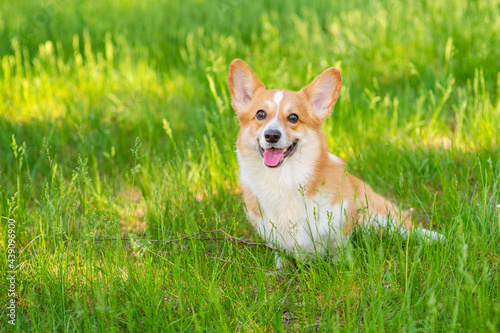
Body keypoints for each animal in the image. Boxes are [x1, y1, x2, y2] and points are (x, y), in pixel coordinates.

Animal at [228, 59, 442, 268]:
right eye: (260, 114)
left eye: (293, 117)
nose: (271, 135)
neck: (283, 179)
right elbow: (281, 257)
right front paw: (279, 269)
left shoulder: (340, 228)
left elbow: (339, 255)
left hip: (381, 215)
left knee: (407, 228)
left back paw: (438, 238)